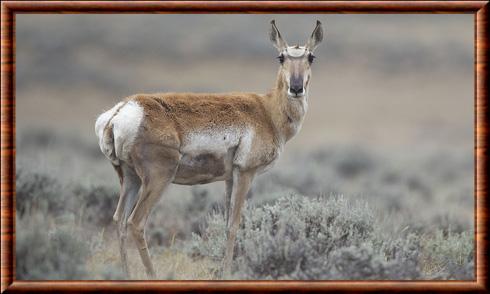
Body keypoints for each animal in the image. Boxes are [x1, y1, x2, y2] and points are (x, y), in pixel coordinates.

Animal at [95, 20, 324, 278]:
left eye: (311, 56)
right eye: (281, 57)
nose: (296, 88)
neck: (267, 111)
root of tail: (123, 110)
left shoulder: (230, 178)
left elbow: (225, 224)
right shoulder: (246, 173)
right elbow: (234, 225)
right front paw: (227, 274)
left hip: (129, 177)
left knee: (119, 219)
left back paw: (125, 275)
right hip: (158, 179)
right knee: (136, 222)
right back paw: (152, 275)